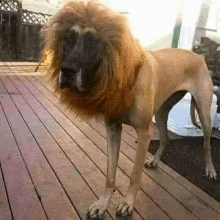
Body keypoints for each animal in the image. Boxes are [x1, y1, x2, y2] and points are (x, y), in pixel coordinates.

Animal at [42, 1, 217, 218]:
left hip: (204, 111)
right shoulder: (112, 129)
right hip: (161, 112)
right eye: (68, 39)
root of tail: (199, 56)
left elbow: (134, 175)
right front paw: (102, 203)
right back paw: (155, 161)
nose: (66, 71)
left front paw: (127, 203)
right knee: (166, 138)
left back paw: (210, 169)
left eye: (93, 42)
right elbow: (110, 174)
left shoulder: (143, 132)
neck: (124, 75)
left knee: (207, 143)